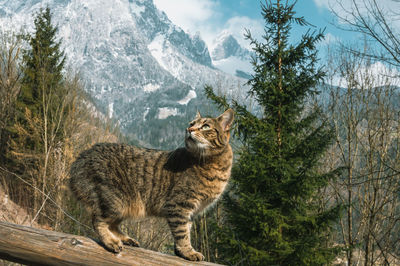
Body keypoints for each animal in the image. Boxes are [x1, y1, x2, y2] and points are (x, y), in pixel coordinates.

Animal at [69, 107, 234, 260]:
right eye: (191, 124)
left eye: (205, 126)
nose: (189, 129)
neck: (214, 164)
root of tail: (83, 156)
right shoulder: (179, 205)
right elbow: (182, 233)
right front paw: (188, 251)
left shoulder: (190, 212)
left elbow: (186, 230)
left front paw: (180, 252)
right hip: (114, 200)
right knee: (98, 221)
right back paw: (111, 242)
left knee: (112, 224)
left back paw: (125, 239)